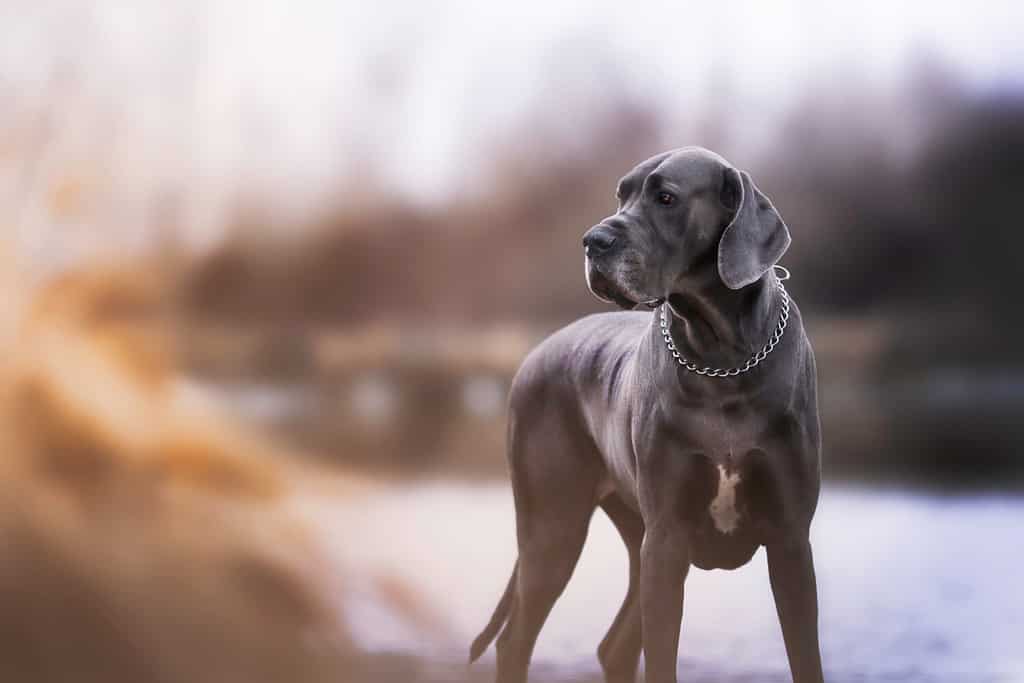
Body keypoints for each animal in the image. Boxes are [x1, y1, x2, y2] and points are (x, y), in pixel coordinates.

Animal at [471, 149, 823, 683]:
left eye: (666, 197)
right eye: (621, 195)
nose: (593, 241)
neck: (722, 360)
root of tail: (535, 354)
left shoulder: (789, 541)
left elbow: (806, 658)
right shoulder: (667, 542)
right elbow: (660, 657)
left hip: (628, 532)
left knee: (613, 647)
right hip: (555, 525)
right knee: (515, 641)